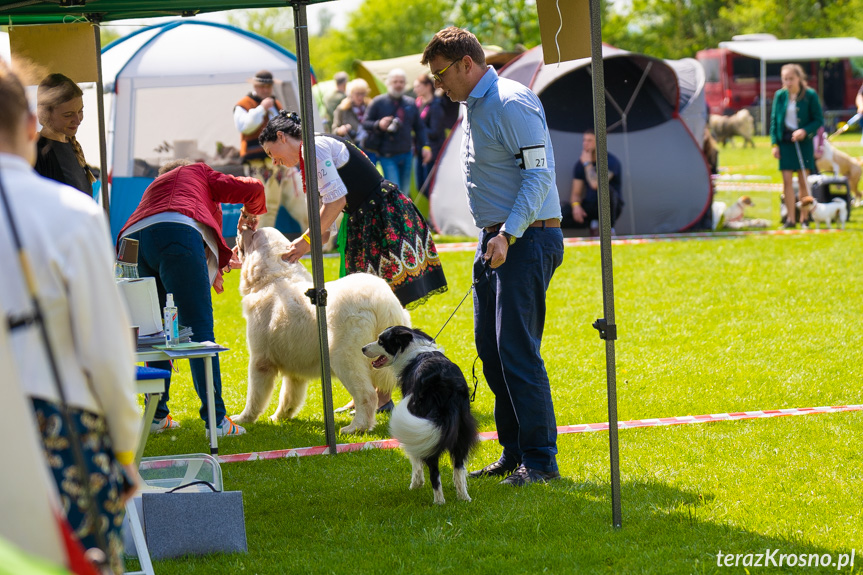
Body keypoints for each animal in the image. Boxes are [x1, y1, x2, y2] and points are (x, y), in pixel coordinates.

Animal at [231, 227, 410, 434]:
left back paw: (355, 428)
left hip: (343, 358)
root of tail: (382, 300)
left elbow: (255, 396)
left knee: (367, 395)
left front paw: (244, 419)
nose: (243, 228)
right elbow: (289, 395)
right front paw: (279, 417)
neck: (274, 277)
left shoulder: (260, 361)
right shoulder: (294, 364)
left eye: (252, 235)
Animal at [360, 326, 480, 506]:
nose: (363, 349)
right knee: (459, 467)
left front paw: (416, 484)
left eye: (381, 341)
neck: (411, 346)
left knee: (434, 471)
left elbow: (415, 459)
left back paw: (439, 501)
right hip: (461, 430)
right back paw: (464, 497)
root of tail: (445, 385)